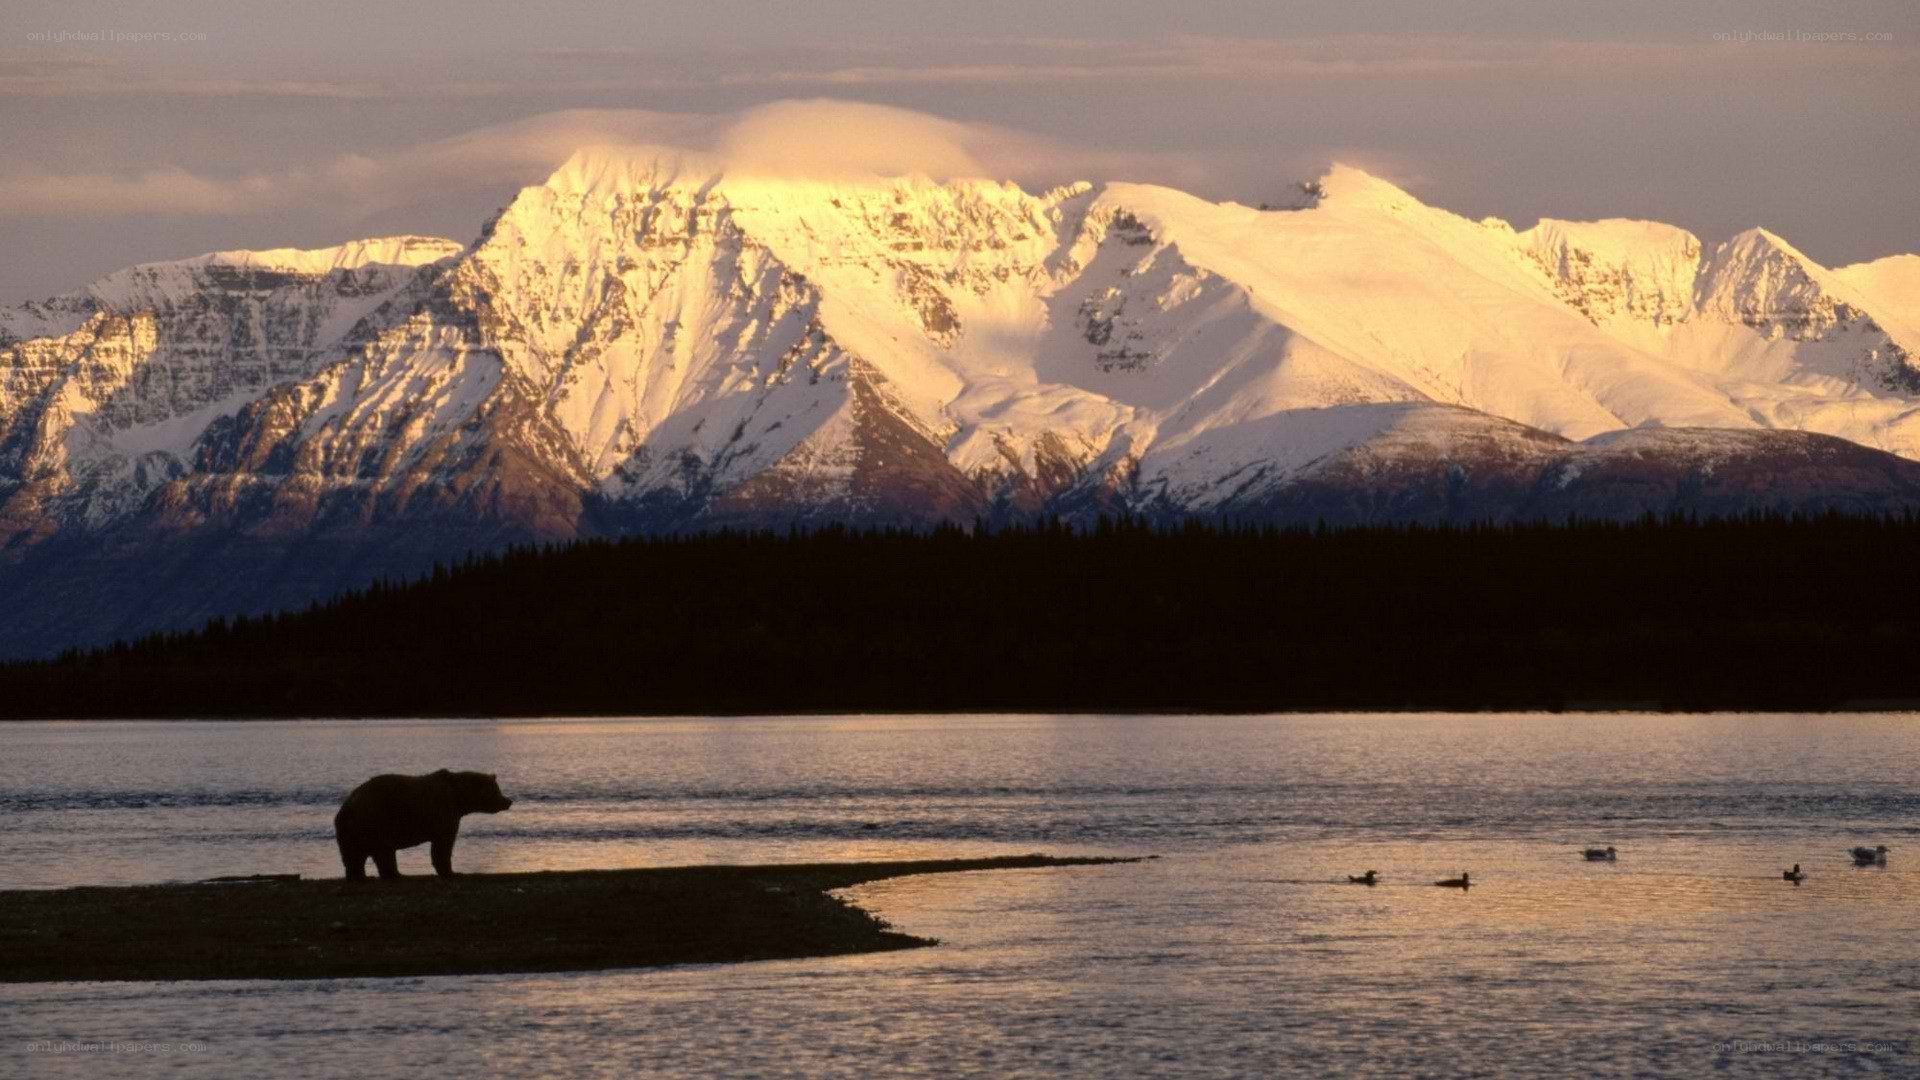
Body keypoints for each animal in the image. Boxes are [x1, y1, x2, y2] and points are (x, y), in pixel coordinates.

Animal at [334, 770, 513, 880]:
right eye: (496, 790)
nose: (508, 801)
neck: (459, 797)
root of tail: (348, 804)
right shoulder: (443, 812)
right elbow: (443, 844)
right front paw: (451, 872)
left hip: (351, 829)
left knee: (353, 855)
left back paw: (360, 876)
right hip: (377, 818)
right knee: (383, 850)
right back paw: (395, 874)